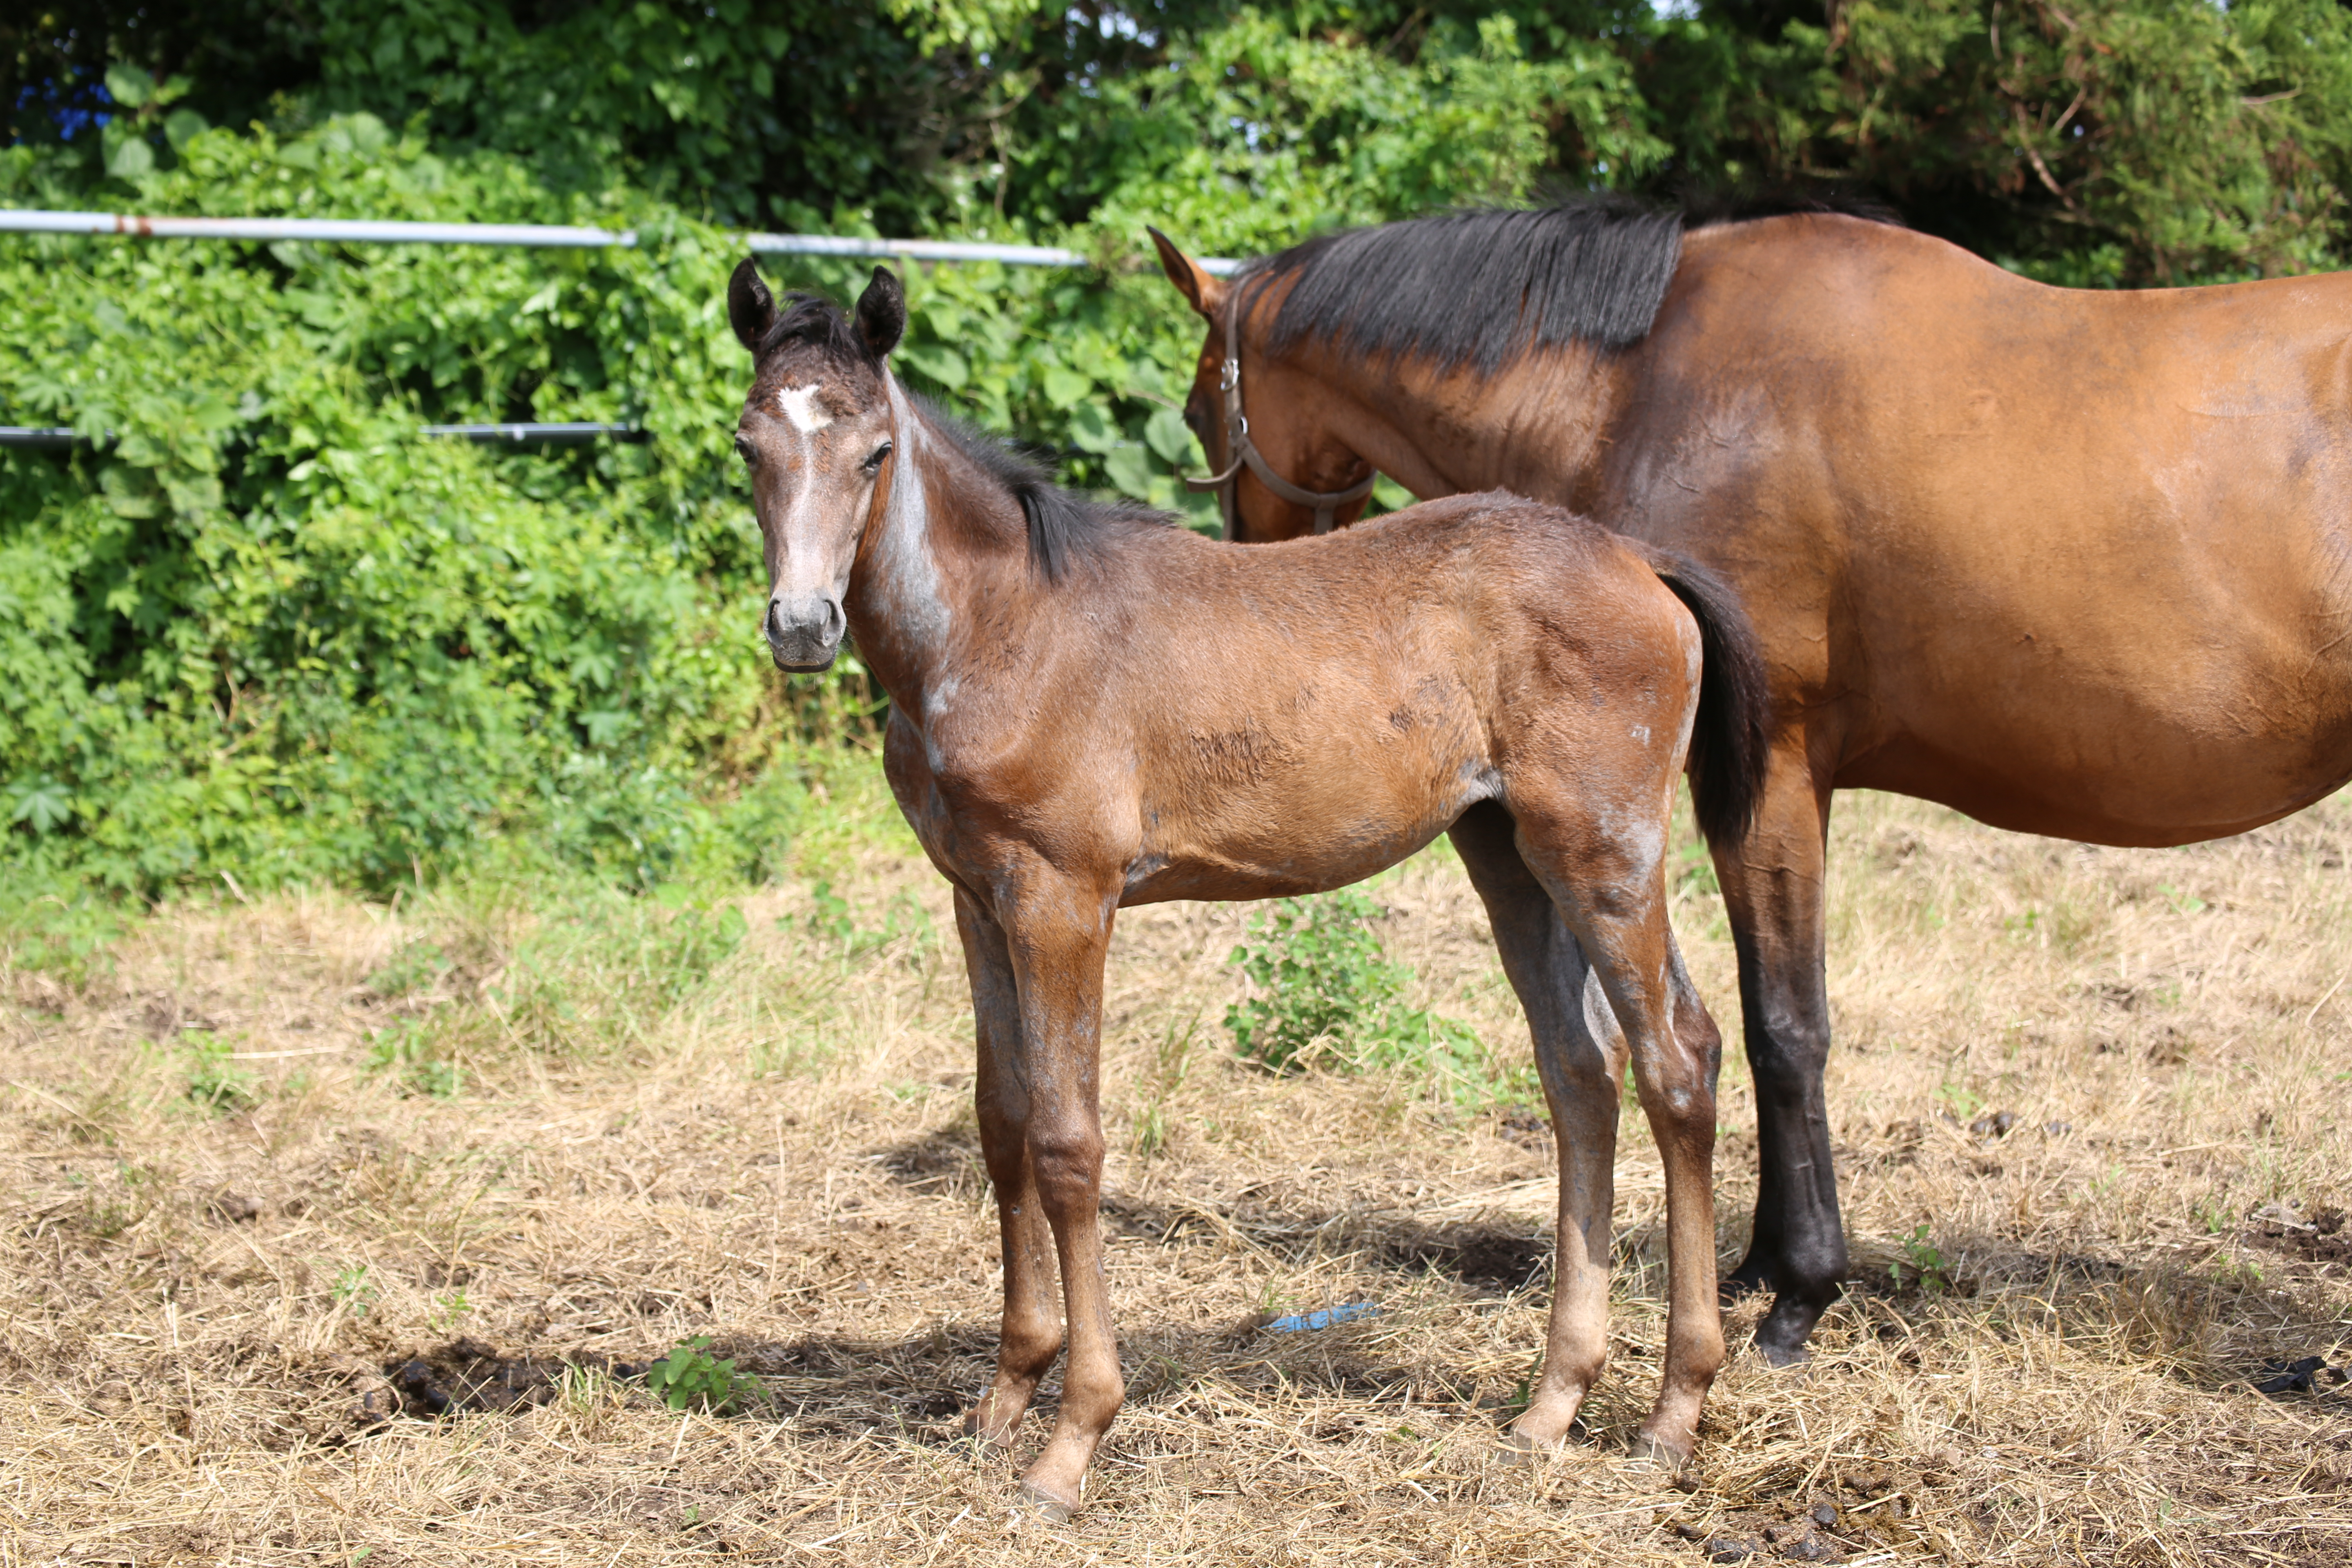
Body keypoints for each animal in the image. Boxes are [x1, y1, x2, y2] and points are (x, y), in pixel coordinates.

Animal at [724, 261, 1768, 1523]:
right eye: (748, 446)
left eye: (874, 451)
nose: (801, 626)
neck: (998, 627)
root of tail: (1638, 563)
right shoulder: (976, 897)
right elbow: (1002, 1121)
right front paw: (1003, 1396)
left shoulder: (1062, 899)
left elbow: (1068, 1141)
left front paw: (1070, 1441)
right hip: (1507, 854)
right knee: (1579, 1073)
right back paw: (1550, 1405)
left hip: (1606, 851)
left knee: (1678, 1058)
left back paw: (1673, 1412)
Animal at [1147, 205, 2352, 1363]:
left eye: (1204, 410)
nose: (1248, 557)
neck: (1641, 378)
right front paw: (1762, 1266)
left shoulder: (1769, 775)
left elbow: (1784, 1026)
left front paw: (1800, 1291)